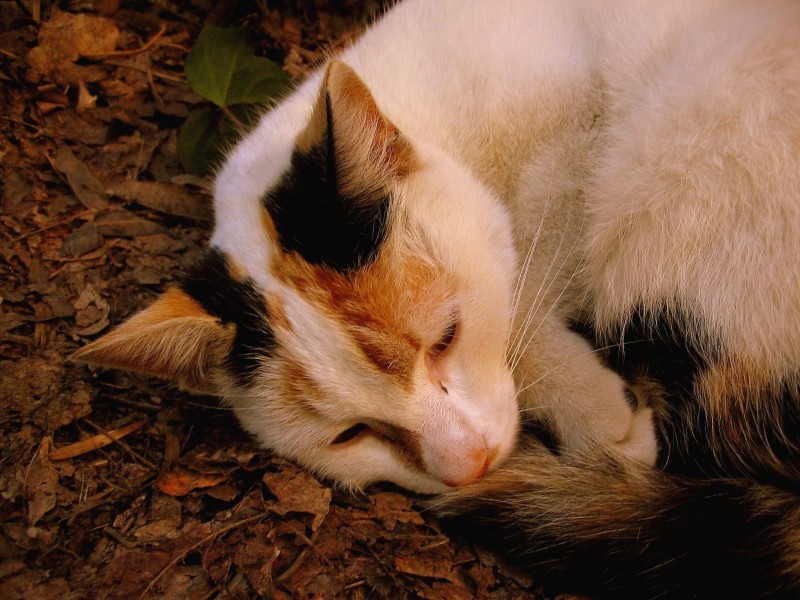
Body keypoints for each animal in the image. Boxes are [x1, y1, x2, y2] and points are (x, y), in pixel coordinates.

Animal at [73, 2, 800, 596]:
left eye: (446, 337)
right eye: (352, 435)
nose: (468, 463)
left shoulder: (579, 122)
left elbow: (530, 253)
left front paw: (593, 410)